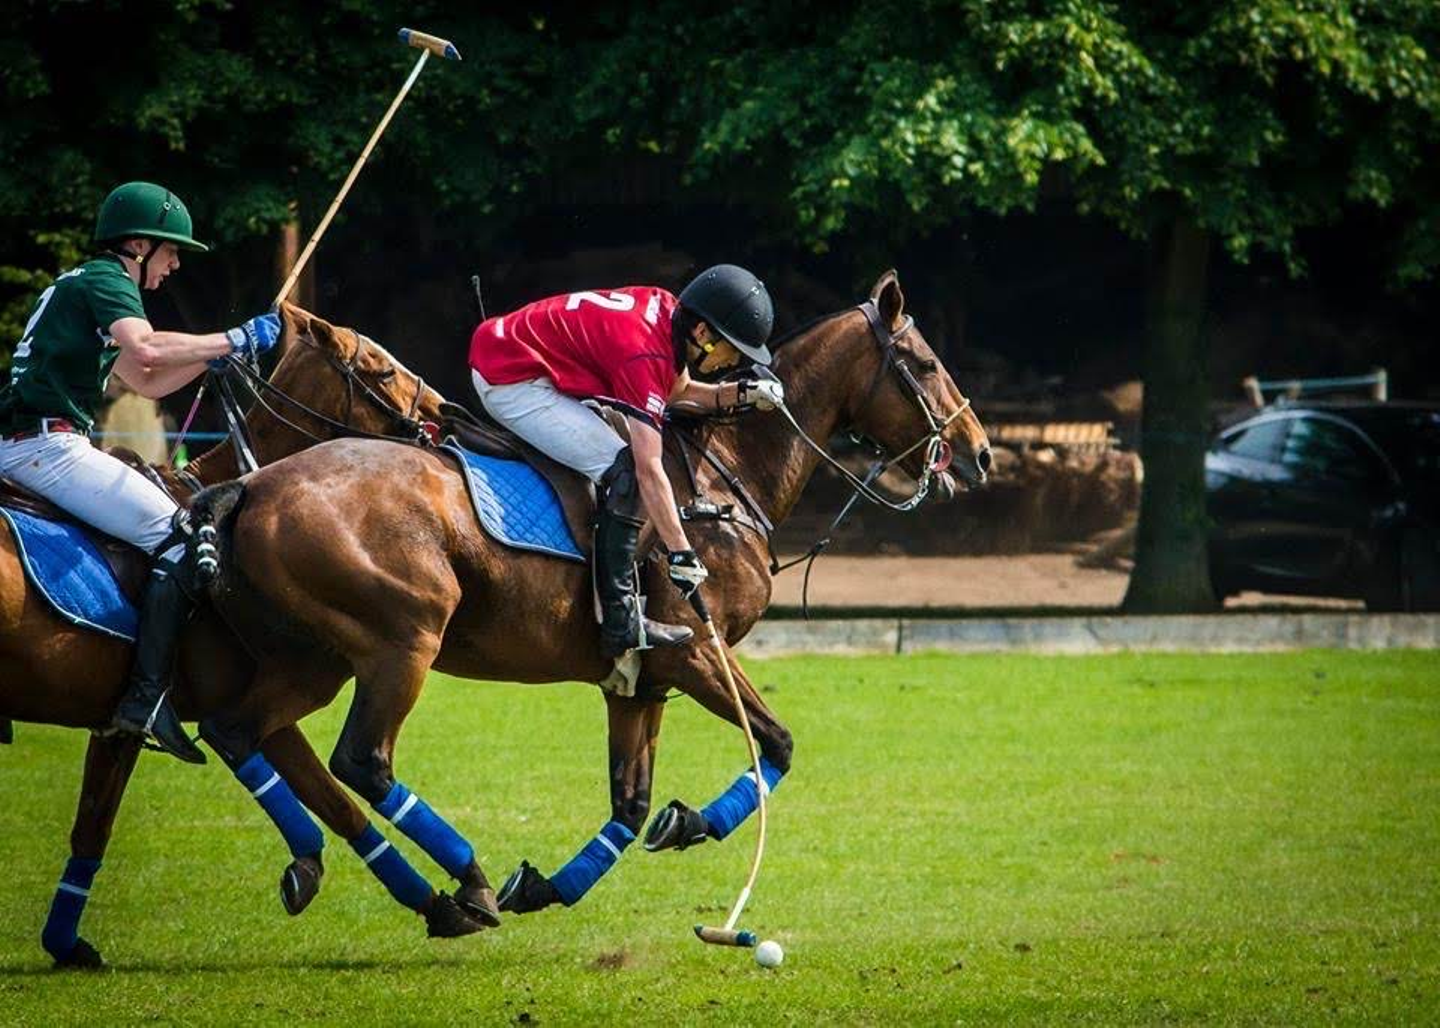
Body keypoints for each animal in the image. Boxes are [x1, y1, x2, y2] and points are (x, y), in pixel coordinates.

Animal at [0, 303, 493, 968]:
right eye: (380, 368)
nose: (447, 414)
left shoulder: (120, 724)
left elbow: (93, 827)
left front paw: (66, 942)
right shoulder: (242, 698)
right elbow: (325, 794)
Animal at [185, 270, 992, 923]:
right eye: (925, 363)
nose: (981, 452)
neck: (726, 478)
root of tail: (250, 487)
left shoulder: (640, 681)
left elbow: (631, 807)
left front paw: (560, 879)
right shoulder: (695, 652)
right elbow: (778, 744)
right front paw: (691, 823)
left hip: (311, 659)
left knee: (238, 729)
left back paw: (370, 879)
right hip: (401, 642)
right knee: (361, 760)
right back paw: (465, 886)